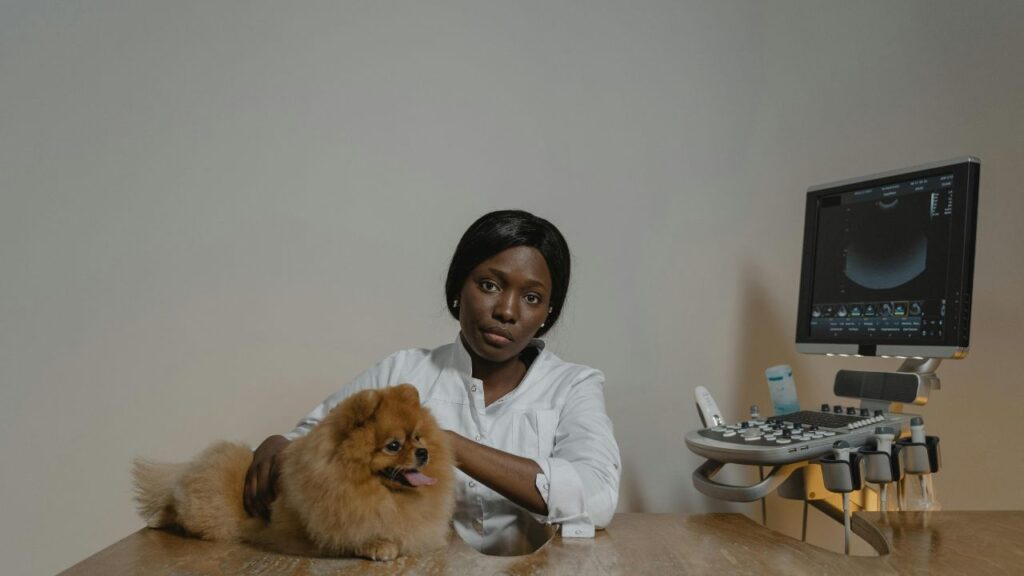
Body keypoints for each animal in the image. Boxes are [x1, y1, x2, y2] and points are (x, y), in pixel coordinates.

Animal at [134, 383, 454, 557]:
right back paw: (157, 518)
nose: (423, 453)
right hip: (210, 511)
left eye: (418, 438)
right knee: (180, 505)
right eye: (393, 446)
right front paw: (379, 545)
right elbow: (357, 535)